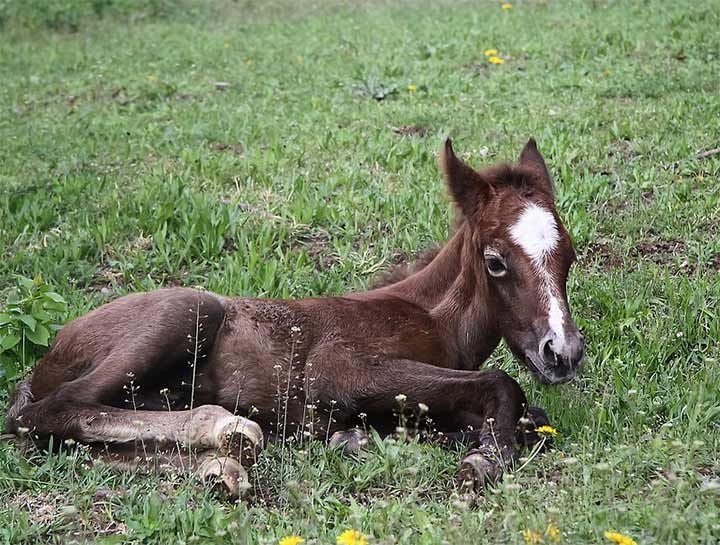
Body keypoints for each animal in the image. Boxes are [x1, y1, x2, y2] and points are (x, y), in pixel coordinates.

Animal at [5, 138, 584, 496]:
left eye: (570, 255)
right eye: (495, 261)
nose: (563, 353)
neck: (430, 316)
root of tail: (47, 357)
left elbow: (529, 416)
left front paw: (363, 437)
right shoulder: (337, 369)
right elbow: (503, 383)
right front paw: (482, 458)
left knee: (72, 442)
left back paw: (221, 465)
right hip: (188, 310)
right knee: (53, 411)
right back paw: (225, 428)